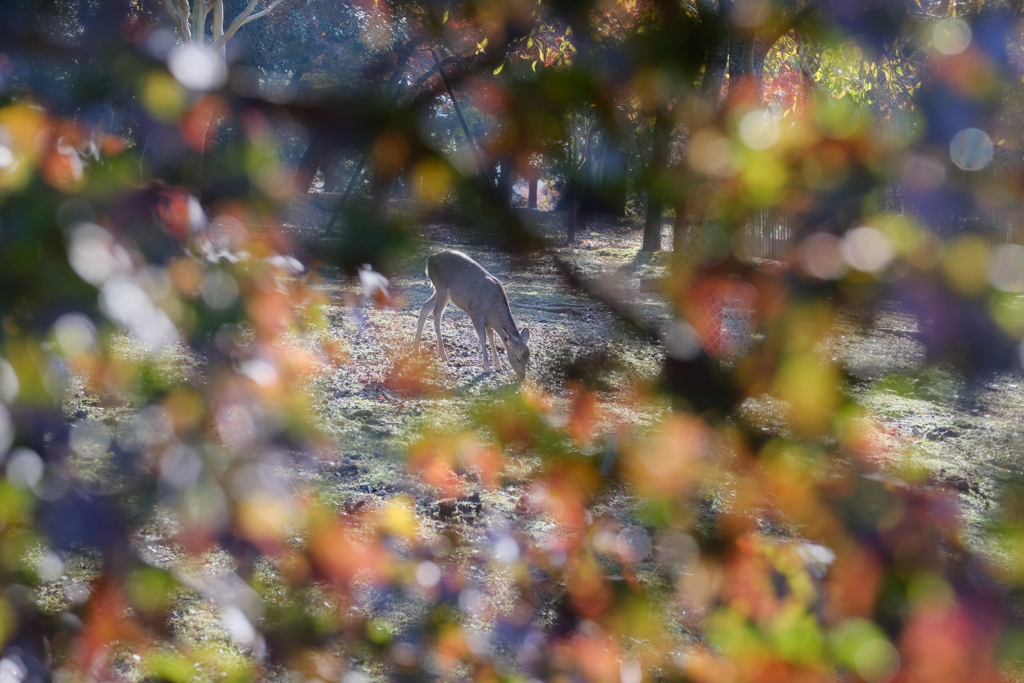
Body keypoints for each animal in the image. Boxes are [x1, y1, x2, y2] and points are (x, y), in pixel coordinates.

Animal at [411, 250, 532, 378]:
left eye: (528, 358)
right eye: (518, 358)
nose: (522, 377)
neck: (493, 310)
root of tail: (430, 259)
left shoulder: (488, 322)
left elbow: (491, 338)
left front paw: (499, 366)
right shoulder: (476, 313)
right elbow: (483, 338)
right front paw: (487, 369)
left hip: (442, 293)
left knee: (425, 307)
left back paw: (416, 348)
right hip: (441, 288)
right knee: (436, 314)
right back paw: (443, 355)